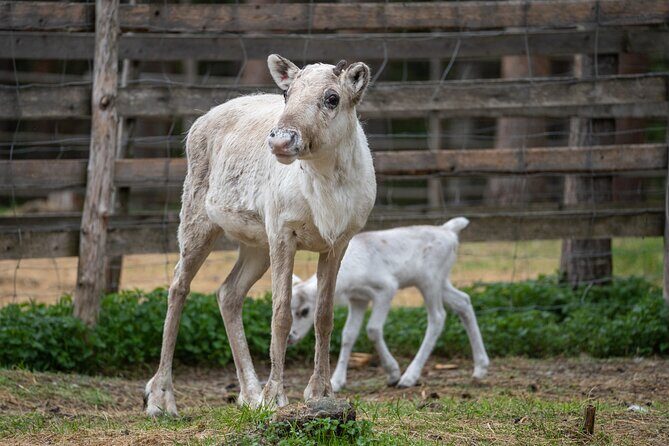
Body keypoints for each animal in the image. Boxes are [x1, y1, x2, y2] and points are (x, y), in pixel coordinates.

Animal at [144, 55, 376, 416]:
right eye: (287, 94)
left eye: (332, 97)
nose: (281, 140)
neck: (328, 189)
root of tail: (198, 122)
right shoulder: (282, 231)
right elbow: (280, 314)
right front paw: (275, 395)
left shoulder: (338, 242)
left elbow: (324, 316)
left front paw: (319, 391)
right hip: (197, 217)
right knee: (178, 286)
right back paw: (160, 397)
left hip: (255, 245)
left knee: (228, 293)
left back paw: (249, 393)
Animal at [289, 218, 490, 391]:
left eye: (304, 311)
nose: (291, 336)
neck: (352, 275)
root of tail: (450, 231)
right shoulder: (358, 299)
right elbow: (348, 334)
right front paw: (337, 382)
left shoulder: (386, 288)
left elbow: (373, 329)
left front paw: (393, 373)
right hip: (442, 280)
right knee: (463, 300)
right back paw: (480, 368)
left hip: (429, 279)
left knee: (438, 316)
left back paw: (409, 377)